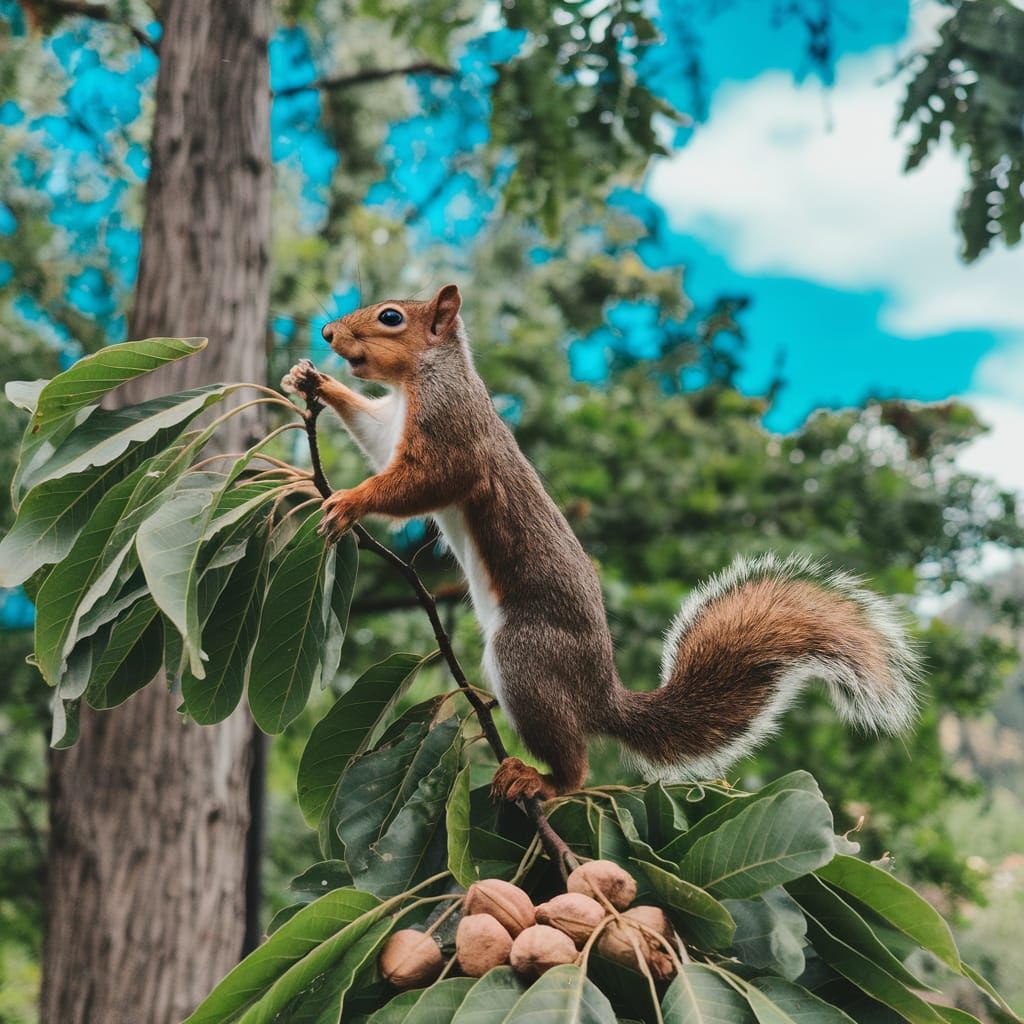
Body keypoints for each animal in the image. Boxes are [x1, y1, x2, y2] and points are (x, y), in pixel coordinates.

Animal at [282, 284, 920, 801]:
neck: (420, 379)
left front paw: (350, 501)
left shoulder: (451, 431)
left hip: (527, 658)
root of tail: (601, 696)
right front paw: (314, 381)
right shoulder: (391, 424)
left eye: (391, 317)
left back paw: (542, 781)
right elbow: (372, 435)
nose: (328, 333)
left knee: (575, 763)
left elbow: (422, 481)